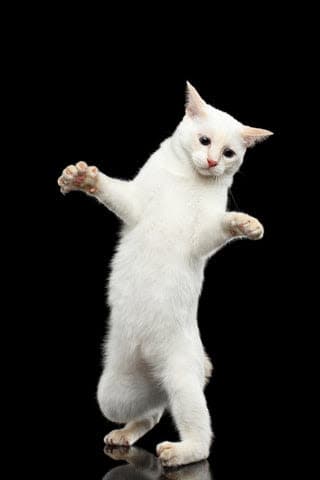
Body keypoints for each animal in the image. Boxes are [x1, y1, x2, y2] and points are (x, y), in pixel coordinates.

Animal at [57, 81, 272, 464]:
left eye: (228, 153)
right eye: (204, 141)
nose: (213, 161)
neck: (188, 182)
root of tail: (153, 369)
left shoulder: (200, 239)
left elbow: (221, 226)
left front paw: (245, 224)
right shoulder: (135, 205)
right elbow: (108, 189)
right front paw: (80, 177)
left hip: (182, 381)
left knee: (197, 438)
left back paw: (177, 452)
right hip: (112, 396)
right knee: (151, 413)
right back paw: (122, 437)